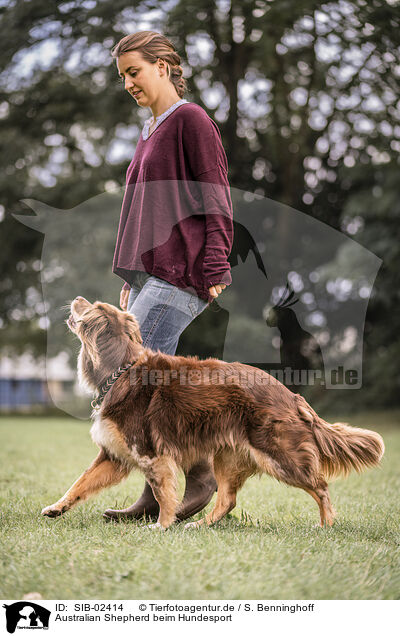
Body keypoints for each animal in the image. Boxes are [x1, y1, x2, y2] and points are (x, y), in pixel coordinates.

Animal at [41, 296, 384, 528]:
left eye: (93, 306)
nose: (76, 298)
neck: (120, 368)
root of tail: (292, 395)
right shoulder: (114, 454)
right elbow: (80, 482)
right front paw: (57, 508)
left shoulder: (152, 453)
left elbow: (163, 493)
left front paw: (161, 525)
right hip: (228, 456)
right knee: (227, 499)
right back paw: (199, 524)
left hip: (279, 456)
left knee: (321, 487)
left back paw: (325, 524)